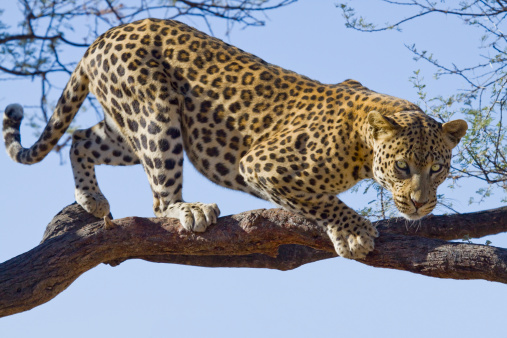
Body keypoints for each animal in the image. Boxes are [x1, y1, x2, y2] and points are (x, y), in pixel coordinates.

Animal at [1, 18, 468, 258]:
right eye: (402, 166)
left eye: (438, 168)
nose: (420, 204)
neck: (361, 145)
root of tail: (102, 36)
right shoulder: (263, 165)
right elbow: (322, 200)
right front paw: (352, 232)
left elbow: (320, 200)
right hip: (156, 115)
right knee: (159, 199)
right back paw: (189, 210)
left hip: (127, 126)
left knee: (80, 138)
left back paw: (92, 200)